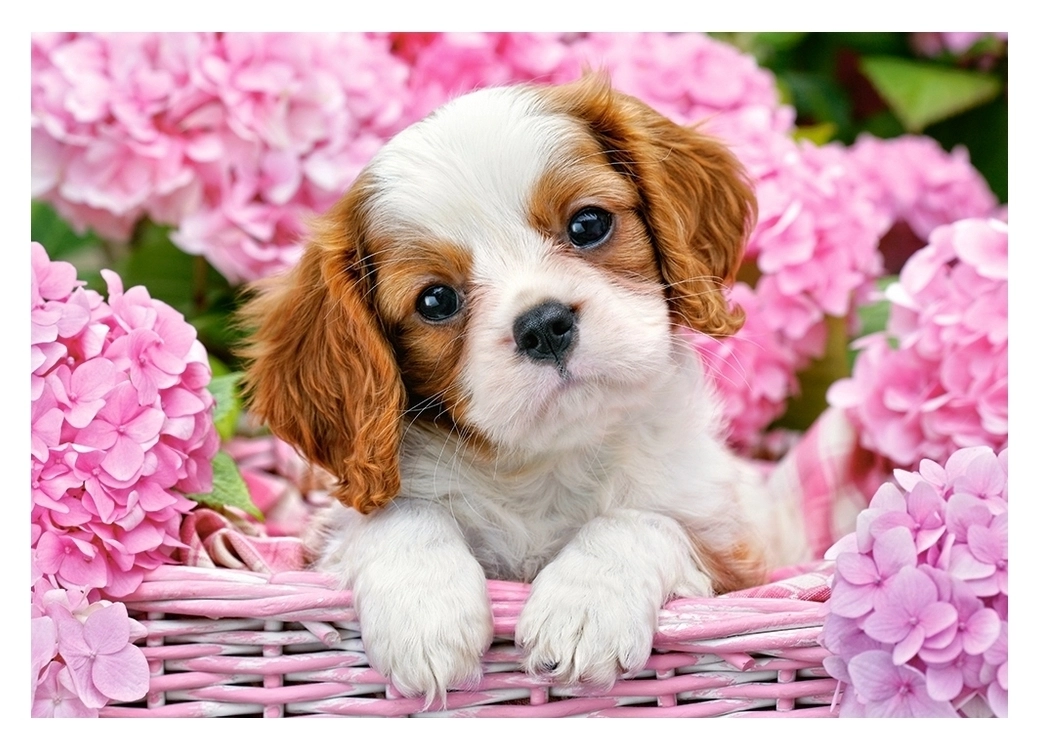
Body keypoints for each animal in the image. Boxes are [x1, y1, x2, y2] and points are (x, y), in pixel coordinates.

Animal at [239, 74, 807, 703]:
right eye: (435, 300)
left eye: (588, 224)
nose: (543, 325)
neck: (543, 463)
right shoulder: (321, 543)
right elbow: (400, 516)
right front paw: (426, 610)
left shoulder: (736, 555)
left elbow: (641, 521)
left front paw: (585, 606)